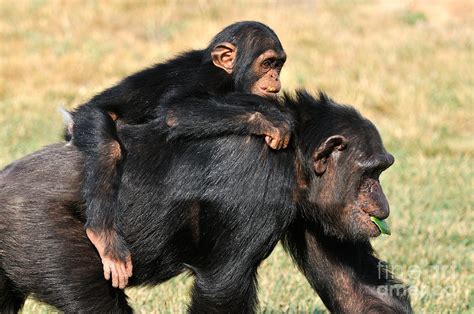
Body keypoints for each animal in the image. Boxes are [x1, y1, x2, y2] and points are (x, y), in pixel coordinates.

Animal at [0, 90, 412, 312]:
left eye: (381, 170)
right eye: (370, 174)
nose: (384, 206)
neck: (293, 159)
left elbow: (358, 291)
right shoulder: (256, 185)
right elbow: (222, 289)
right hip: (41, 234)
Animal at [71, 20, 290, 288]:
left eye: (279, 64)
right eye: (267, 63)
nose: (275, 76)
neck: (229, 77)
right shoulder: (207, 79)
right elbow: (176, 111)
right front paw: (269, 120)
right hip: (88, 121)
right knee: (110, 147)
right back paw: (103, 235)